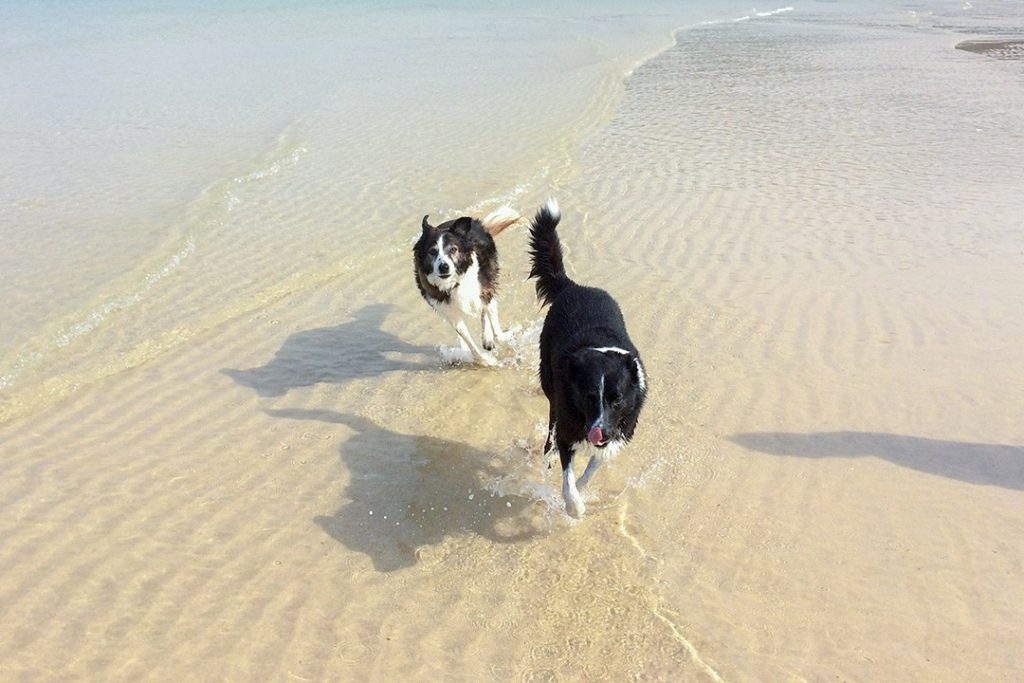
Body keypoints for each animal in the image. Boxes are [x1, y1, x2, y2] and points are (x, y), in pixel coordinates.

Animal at [411, 206, 516, 366]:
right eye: (432, 251)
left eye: (453, 249)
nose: (444, 267)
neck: (454, 282)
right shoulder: (449, 311)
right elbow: (469, 341)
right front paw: (486, 360)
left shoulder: (484, 289)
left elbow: (495, 325)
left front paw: (500, 340)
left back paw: (488, 337)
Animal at [528, 197, 647, 518]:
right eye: (589, 396)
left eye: (617, 399)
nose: (598, 433)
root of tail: (573, 286)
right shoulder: (570, 424)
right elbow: (567, 475)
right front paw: (574, 506)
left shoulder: (620, 429)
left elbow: (594, 466)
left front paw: (582, 489)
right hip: (550, 387)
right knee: (551, 427)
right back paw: (548, 455)